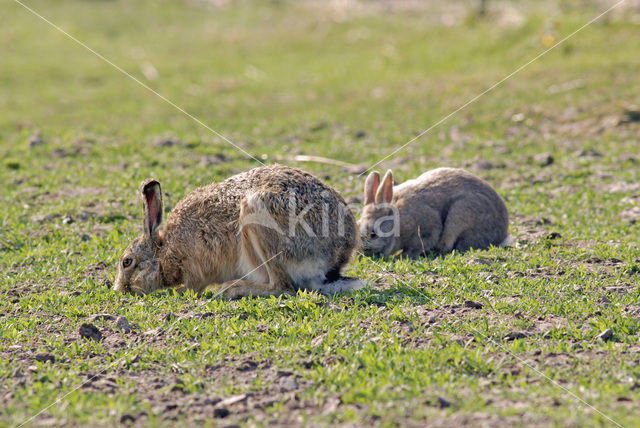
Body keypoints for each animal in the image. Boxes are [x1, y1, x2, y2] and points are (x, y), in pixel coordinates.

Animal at [114, 164, 364, 298]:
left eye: (127, 262)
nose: (119, 289)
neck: (164, 253)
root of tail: (336, 258)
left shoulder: (195, 269)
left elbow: (191, 287)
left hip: (258, 218)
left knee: (283, 287)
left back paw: (231, 289)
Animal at [360, 168, 510, 258]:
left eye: (373, 234)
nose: (361, 252)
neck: (397, 221)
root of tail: (502, 233)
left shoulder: (426, 229)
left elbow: (418, 245)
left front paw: (402, 256)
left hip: (460, 217)